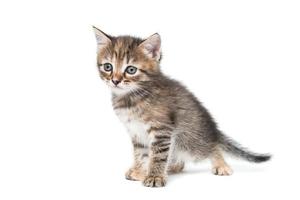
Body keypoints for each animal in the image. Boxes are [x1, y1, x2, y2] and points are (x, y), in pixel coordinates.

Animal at [93, 26, 272, 188]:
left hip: (189, 139)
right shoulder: (136, 132)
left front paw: (155, 176)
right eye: (108, 67)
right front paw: (140, 170)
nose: (115, 81)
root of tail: (213, 129)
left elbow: (157, 155)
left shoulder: (162, 129)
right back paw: (171, 167)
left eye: (131, 69)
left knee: (212, 147)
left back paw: (221, 165)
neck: (132, 97)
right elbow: (141, 153)